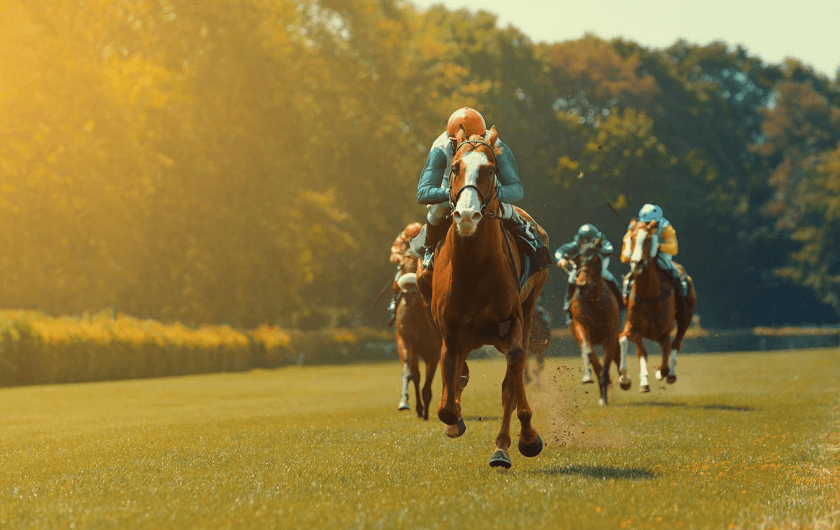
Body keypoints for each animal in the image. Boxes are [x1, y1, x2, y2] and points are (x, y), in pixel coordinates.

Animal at [394, 253, 441, 420]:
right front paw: (404, 402)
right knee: (416, 375)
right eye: (401, 266)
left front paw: (426, 411)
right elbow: (411, 374)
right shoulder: (406, 341)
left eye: (418, 266)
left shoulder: (434, 350)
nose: (409, 293)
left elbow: (428, 382)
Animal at [416, 125, 550, 469]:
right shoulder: (450, 334)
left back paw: (508, 445)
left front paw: (523, 440)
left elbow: (513, 378)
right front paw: (454, 421)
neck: (474, 268)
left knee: (513, 378)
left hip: (530, 306)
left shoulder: (512, 323)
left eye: (490, 169)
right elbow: (446, 406)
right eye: (454, 168)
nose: (466, 215)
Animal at [568, 242, 622, 405]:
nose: (583, 284)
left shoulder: (610, 334)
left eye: (596, 260)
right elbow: (590, 353)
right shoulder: (581, 327)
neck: (593, 302)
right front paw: (590, 379)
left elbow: (609, 357)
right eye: (577, 260)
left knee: (617, 353)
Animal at [618, 220, 697, 392]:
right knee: (642, 352)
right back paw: (644, 382)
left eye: (648, 239)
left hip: (685, 318)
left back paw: (670, 375)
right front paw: (625, 380)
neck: (648, 296)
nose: (637, 262)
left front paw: (661, 372)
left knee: (676, 344)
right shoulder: (634, 327)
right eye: (631, 238)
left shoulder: (665, 331)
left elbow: (665, 359)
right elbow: (624, 341)